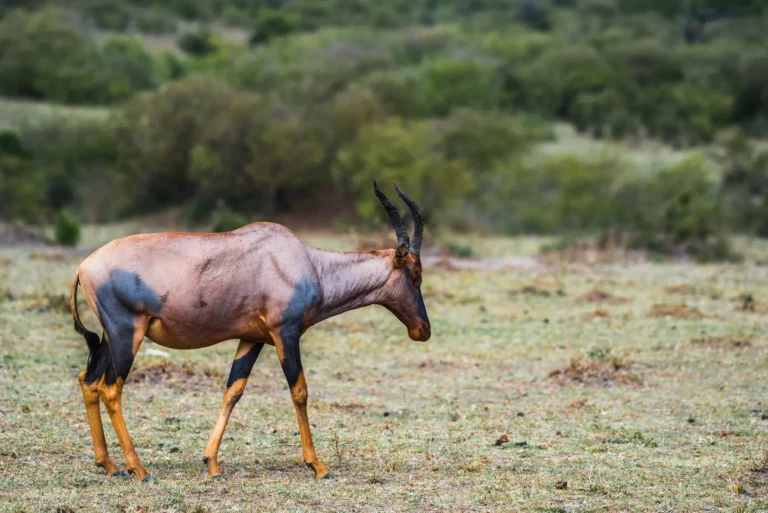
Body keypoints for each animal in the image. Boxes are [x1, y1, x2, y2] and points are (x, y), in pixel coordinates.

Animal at [70, 182, 432, 482]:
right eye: (415, 274)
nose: (423, 330)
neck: (304, 261)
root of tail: (84, 266)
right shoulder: (285, 334)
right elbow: (299, 391)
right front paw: (318, 466)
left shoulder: (253, 339)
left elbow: (233, 391)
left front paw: (212, 466)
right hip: (126, 334)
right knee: (111, 389)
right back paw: (140, 470)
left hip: (109, 337)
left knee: (89, 380)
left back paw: (110, 465)